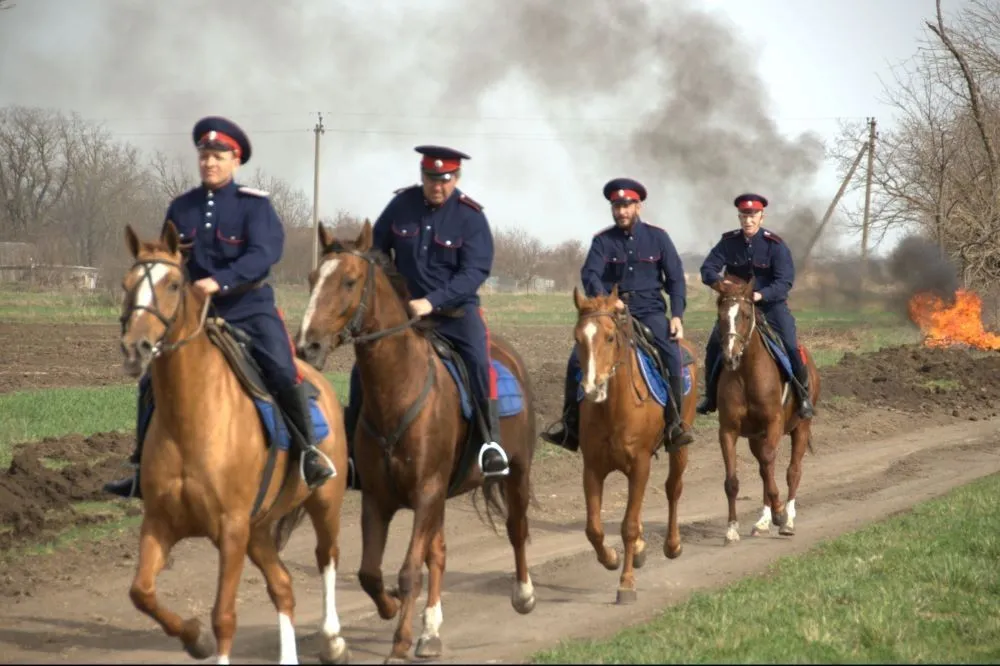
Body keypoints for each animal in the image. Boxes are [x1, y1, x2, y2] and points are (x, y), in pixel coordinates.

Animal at [118, 223, 352, 664]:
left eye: (173, 284)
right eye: (127, 285)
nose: (134, 347)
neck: (191, 419)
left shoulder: (230, 529)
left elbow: (223, 614)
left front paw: (207, 637)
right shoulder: (160, 522)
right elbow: (141, 592)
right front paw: (194, 638)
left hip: (324, 502)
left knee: (327, 558)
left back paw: (333, 640)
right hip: (258, 531)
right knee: (283, 586)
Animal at [296, 222, 540, 660]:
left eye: (349, 280)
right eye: (312, 279)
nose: (308, 345)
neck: (399, 391)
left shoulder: (426, 492)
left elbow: (410, 570)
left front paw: (399, 643)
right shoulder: (380, 498)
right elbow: (370, 573)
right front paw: (392, 608)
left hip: (516, 472)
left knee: (516, 527)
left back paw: (523, 595)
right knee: (438, 555)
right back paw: (431, 634)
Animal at [572, 282, 696, 604]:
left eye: (609, 336)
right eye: (577, 338)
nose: (592, 388)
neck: (613, 408)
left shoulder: (639, 465)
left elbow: (627, 525)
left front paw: (626, 583)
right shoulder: (592, 468)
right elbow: (593, 528)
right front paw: (612, 558)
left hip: (679, 448)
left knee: (673, 489)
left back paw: (672, 545)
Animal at [712, 276, 820, 544]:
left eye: (745, 315)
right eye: (721, 315)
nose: (730, 357)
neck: (746, 374)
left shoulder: (774, 424)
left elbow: (773, 464)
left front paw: (780, 514)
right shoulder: (728, 430)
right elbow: (732, 481)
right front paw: (732, 529)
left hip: (801, 427)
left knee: (792, 471)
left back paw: (787, 520)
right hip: (756, 437)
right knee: (764, 469)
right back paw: (762, 522)